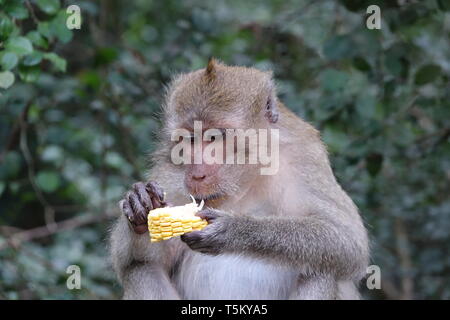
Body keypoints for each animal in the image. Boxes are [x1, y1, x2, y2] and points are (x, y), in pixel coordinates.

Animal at [109, 58, 370, 300]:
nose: (196, 174)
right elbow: (131, 261)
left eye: (214, 137)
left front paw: (233, 229)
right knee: (142, 271)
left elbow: (347, 241)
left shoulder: (304, 157)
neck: (245, 180)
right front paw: (140, 206)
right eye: (189, 139)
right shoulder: (171, 174)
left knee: (322, 268)